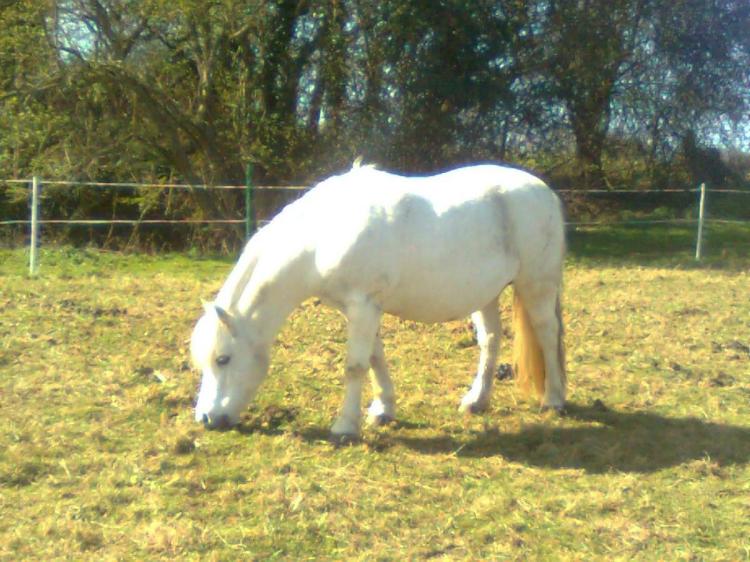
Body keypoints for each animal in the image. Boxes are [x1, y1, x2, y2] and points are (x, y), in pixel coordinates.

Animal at [190, 162, 567, 439]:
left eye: (223, 359)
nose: (206, 419)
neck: (323, 236)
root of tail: (544, 191)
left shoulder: (363, 306)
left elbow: (355, 366)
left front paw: (345, 427)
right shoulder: (359, 309)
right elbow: (374, 358)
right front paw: (383, 410)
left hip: (537, 284)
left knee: (547, 334)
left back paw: (554, 400)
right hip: (486, 294)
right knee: (490, 340)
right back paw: (476, 401)